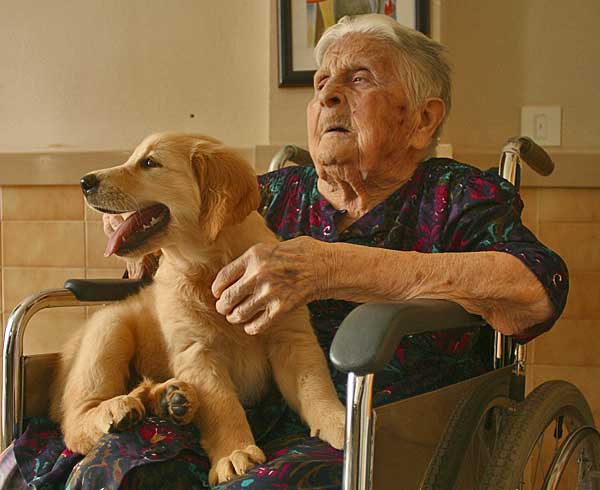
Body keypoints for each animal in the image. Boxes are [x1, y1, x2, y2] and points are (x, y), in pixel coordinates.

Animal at [50, 132, 346, 484]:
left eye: (149, 162)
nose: (84, 182)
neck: (210, 267)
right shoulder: (197, 351)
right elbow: (222, 404)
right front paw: (234, 453)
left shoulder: (291, 336)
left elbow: (315, 385)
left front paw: (340, 422)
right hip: (109, 328)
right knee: (75, 422)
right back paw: (119, 407)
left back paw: (169, 399)